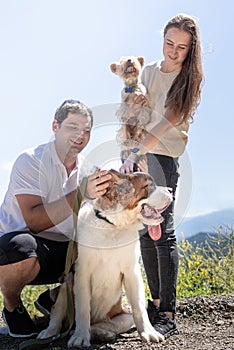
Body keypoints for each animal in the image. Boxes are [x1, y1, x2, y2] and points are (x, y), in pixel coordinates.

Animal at [37, 170, 171, 348]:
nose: (171, 190)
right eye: (149, 185)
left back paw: (102, 333)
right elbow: (82, 309)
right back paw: (51, 332)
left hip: (124, 315)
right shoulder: (81, 274)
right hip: (67, 284)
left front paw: (149, 332)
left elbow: (139, 308)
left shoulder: (132, 273)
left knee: (108, 323)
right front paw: (80, 337)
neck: (113, 226)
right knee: (57, 313)